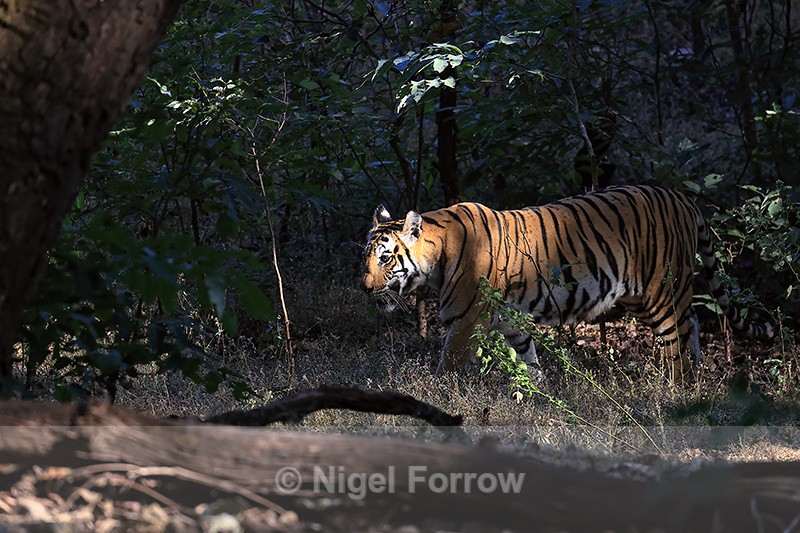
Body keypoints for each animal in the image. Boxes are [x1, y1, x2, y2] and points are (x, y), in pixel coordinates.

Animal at [362, 185, 774, 377]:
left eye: (385, 259)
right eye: (365, 258)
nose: (365, 288)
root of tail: (681, 196)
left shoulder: (465, 322)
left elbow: (447, 364)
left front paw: (437, 396)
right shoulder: (510, 319)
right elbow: (528, 360)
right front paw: (535, 396)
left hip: (661, 291)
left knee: (680, 335)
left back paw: (678, 386)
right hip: (639, 296)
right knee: (693, 323)